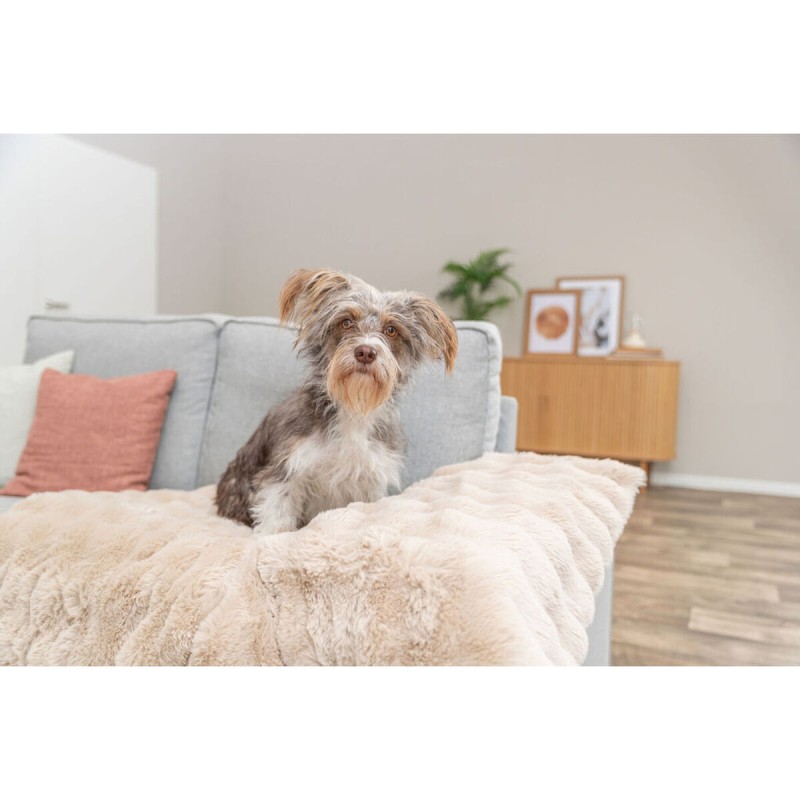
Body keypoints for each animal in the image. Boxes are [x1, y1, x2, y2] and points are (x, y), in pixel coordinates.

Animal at [215, 268, 458, 534]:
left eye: (391, 329)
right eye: (346, 322)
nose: (365, 352)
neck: (352, 407)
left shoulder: (369, 480)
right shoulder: (286, 469)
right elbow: (277, 518)